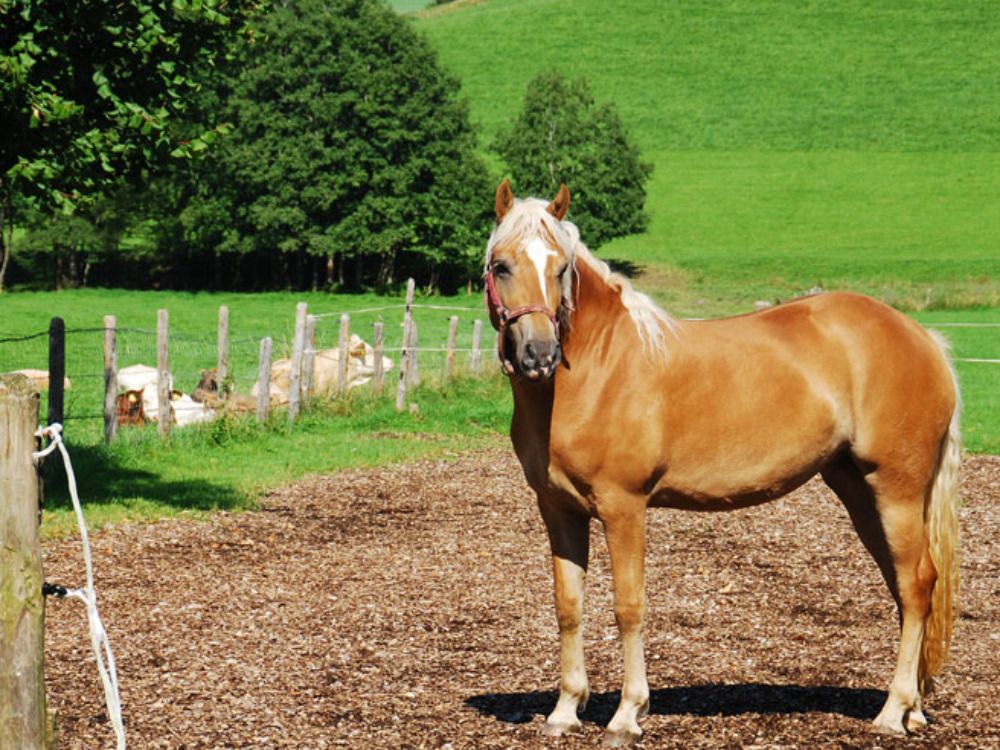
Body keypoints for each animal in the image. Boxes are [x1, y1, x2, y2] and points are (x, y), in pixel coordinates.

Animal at [483, 179, 960, 747]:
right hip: (861, 492)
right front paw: (564, 710)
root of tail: (924, 338)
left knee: (916, 586)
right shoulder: (559, 511)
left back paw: (893, 711)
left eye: (561, 269)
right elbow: (568, 607)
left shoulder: (624, 509)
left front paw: (627, 715)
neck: (598, 371)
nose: (539, 355)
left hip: (896, 489)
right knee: (908, 588)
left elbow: (628, 607)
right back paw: (913, 710)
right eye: (502, 266)